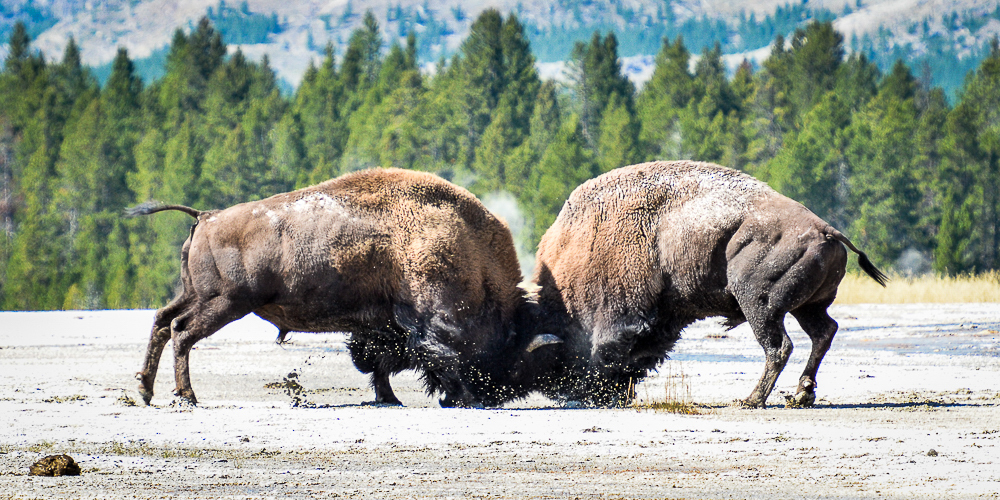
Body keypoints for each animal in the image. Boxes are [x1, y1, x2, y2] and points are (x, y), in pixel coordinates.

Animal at [131, 167, 564, 406]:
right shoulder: (427, 323)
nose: (497, 394)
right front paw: (461, 397)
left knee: (162, 321)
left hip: (196, 295)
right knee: (181, 332)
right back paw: (186, 397)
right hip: (225, 303)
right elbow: (442, 357)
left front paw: (389, 398)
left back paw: (146, 392)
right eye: (513, 352)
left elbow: (380, 363)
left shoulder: (385, 327)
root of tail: (206, 216)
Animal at [532, 162, 884, 408]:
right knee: (823, 333)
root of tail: (826, 229)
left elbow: (611, 351)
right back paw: (801, 395)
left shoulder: (621, 315)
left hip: (759, 305)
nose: (561, 393)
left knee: (779, 346)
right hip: (807, 307)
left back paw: (752, 400)